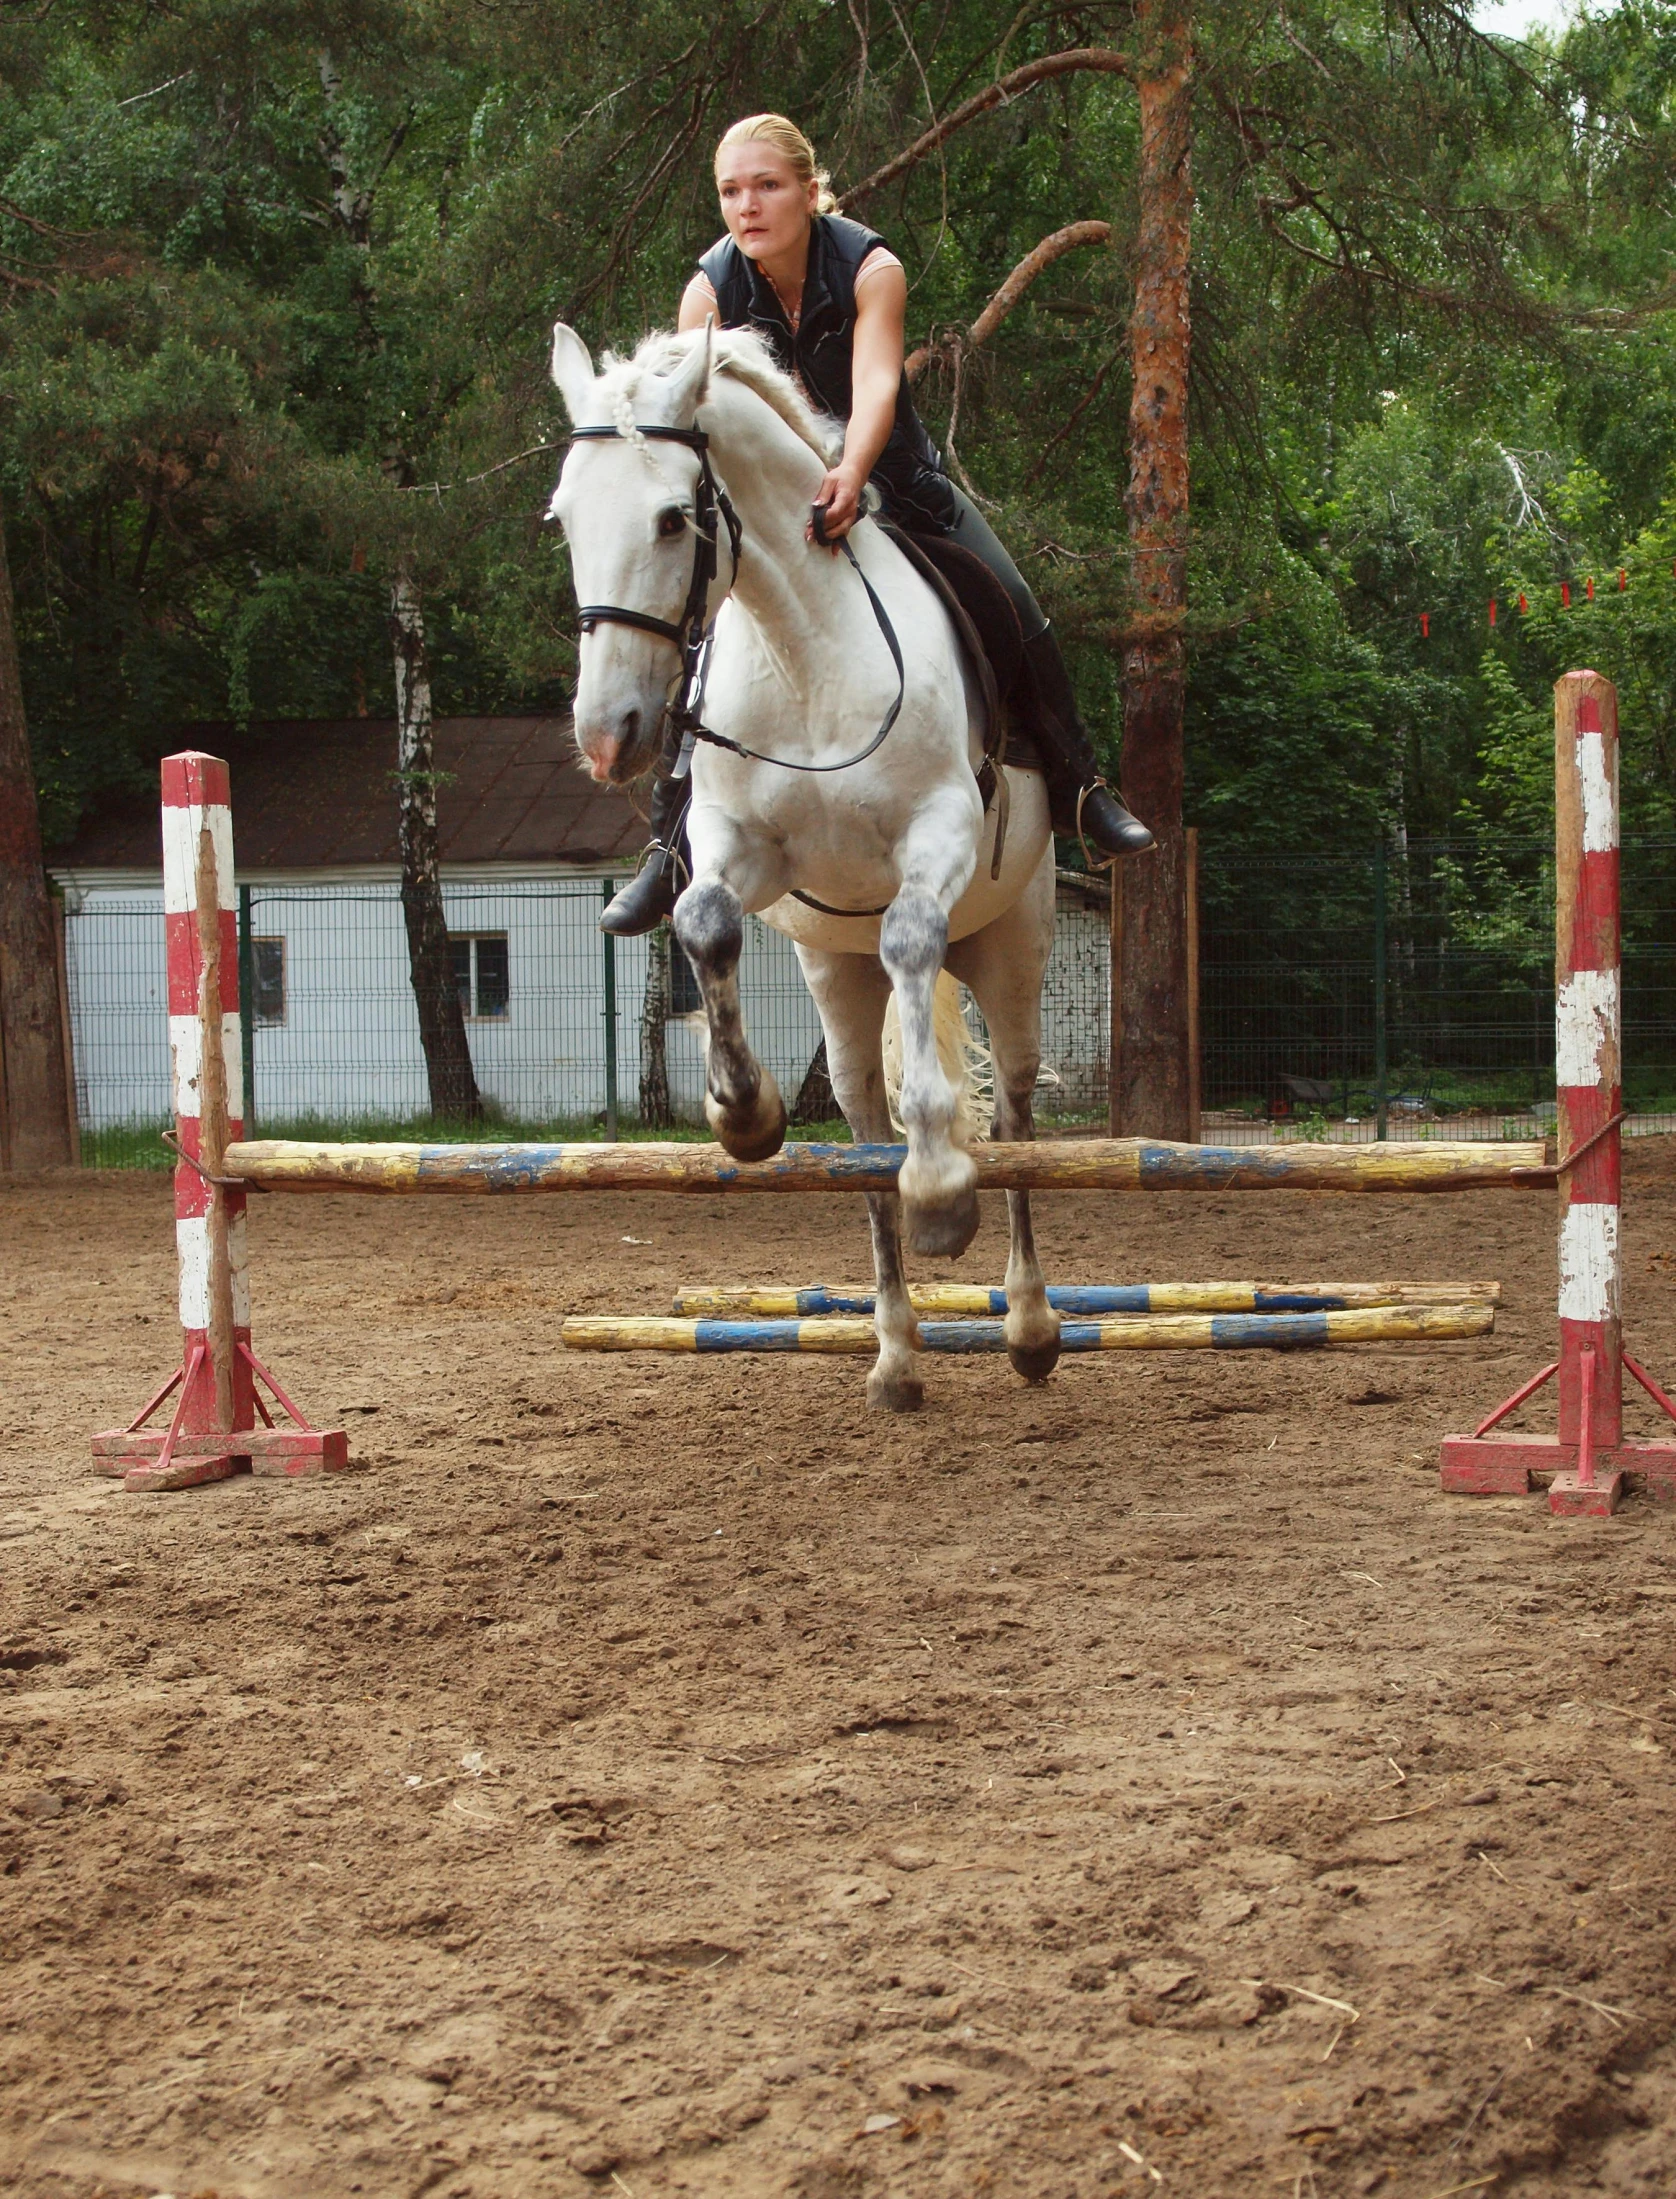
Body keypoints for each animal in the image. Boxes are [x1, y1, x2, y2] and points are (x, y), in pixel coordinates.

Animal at [554, 321, 1064, 1407]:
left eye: (672, 518)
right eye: (564, 519)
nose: (607, 736)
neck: (804, 652)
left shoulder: (938, 833)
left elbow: (911, 937)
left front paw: (942, 1189)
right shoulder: (742, 850)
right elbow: (701, 923)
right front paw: (744, 1115)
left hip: (1012, 942)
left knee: (1016, 1116)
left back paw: (1031, 1324)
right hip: (834, 969)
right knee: (865, 1127)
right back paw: (895, 1354)